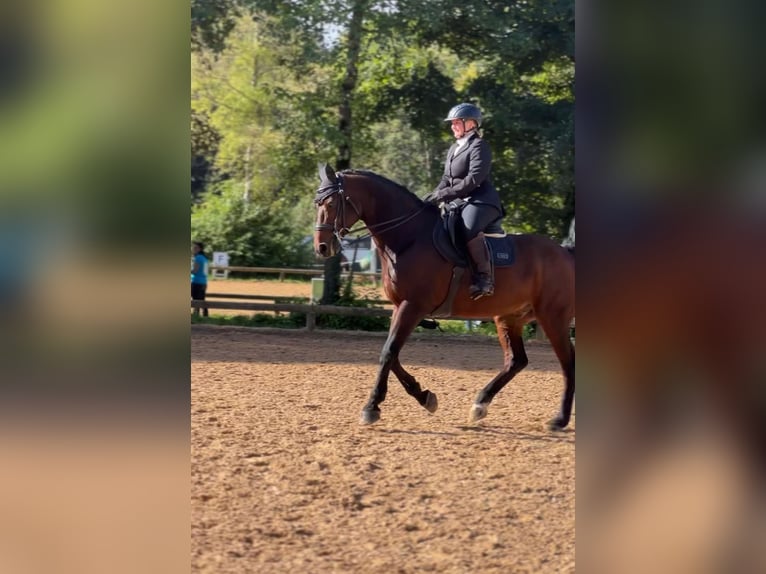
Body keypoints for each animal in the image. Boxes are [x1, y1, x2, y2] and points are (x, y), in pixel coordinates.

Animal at [314, 164, 576, 430]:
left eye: (331, 203)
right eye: (318, 203)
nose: (322, 247)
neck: (408, 238)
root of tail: (565, 252)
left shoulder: (413, 306)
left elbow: (388, 352)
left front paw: (371, 407)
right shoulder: (399, 307)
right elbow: (391, 353)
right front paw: (425, 397)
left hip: (552, 317)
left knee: (568, 362)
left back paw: (559, 419)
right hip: (509, 317)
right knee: (516, 361)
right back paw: (480, 404)